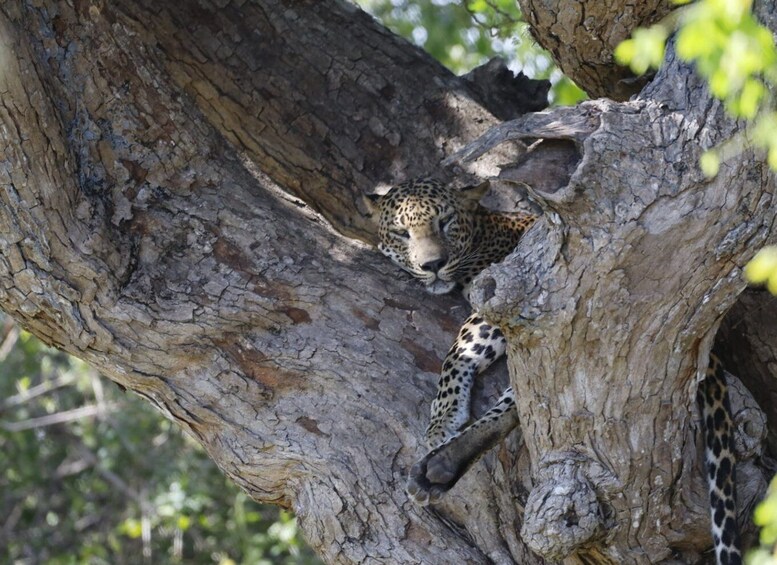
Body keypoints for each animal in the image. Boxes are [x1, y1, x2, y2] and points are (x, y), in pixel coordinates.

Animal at [368, 177, 742, 565]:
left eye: (445, 222)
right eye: (402, 232)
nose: (433, 264)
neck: (485, 230)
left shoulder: (507, 293)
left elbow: (457, 353)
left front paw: (442, 421)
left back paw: (438, 467)